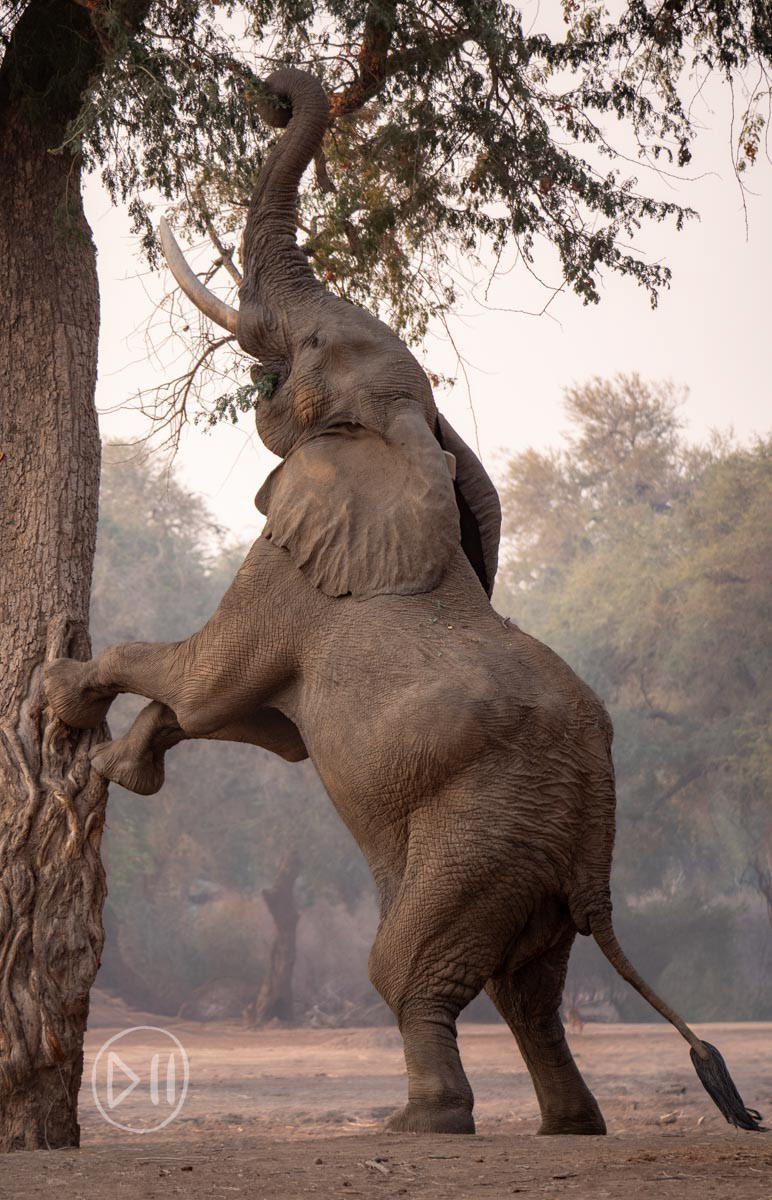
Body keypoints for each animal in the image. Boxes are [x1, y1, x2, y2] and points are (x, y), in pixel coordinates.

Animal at [45, 68, 762, 1136]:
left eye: (307, 343)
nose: (274, 90)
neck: (412, 432)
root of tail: (594, 857)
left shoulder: (294, 569)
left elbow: (208, 681)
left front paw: (58, 696)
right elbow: (250, 721)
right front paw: (123, 764)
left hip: (486, 832)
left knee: (408, 968)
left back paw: (423, 1121)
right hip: (526, 856)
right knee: (528, 986)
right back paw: (569, 1125)